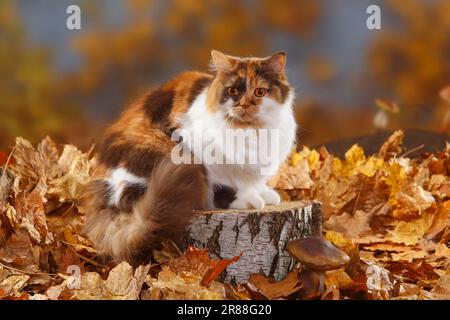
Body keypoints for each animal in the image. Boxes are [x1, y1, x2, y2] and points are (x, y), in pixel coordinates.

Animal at [82, 50, 298, 264]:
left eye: (260, 92)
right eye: (233, 91)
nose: (244, 105)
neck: (251, 130)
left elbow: (253, 181)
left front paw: (264, 194)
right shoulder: (207, 160)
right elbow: (224, 187)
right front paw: (248, 199)